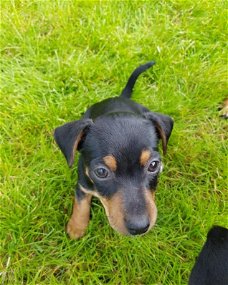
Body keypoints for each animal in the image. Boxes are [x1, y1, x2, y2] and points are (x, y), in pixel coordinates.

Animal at [54, 61, 174, 237]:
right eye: (101, 172)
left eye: (153, 165)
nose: (139, 228)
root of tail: (120, 98)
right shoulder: (82, 183)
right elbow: (81, 204)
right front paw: (76, 227)